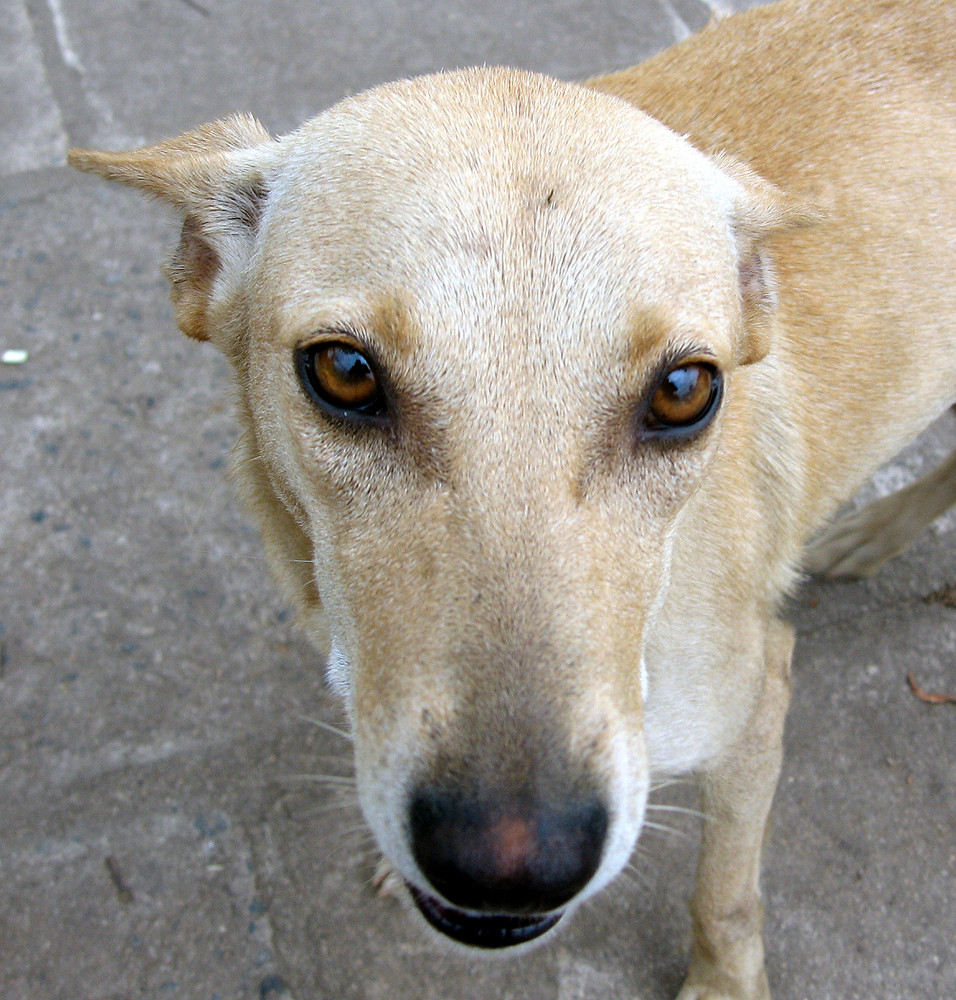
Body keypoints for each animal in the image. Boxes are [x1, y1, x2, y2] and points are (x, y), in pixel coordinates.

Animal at [69, 0, 956, 996]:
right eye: (344, 372)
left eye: (684, 389)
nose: (512, 868)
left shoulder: (755, 703)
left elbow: (724, 896)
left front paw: (722, 984)